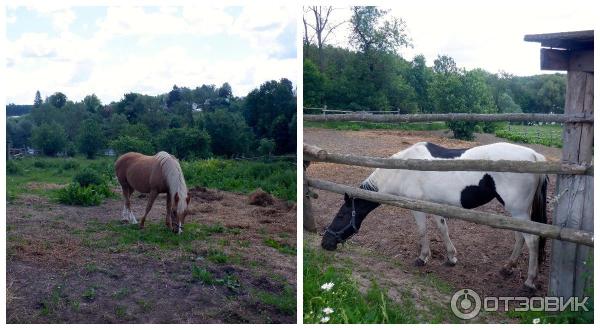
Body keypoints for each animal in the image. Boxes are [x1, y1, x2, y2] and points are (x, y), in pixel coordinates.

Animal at [324, 142, 548, 292]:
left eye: (342, 214)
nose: (325, 243)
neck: (404, 169)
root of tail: (534, 155)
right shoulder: (435, 206)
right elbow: (442, 228)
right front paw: (451, 258)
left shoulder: (417, 207)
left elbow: (423, 231)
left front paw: (422, 258)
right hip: (515, 212)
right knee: (520, 238)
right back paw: (507, 268)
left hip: (517, 210)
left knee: (532, 240)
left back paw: (529, 282)